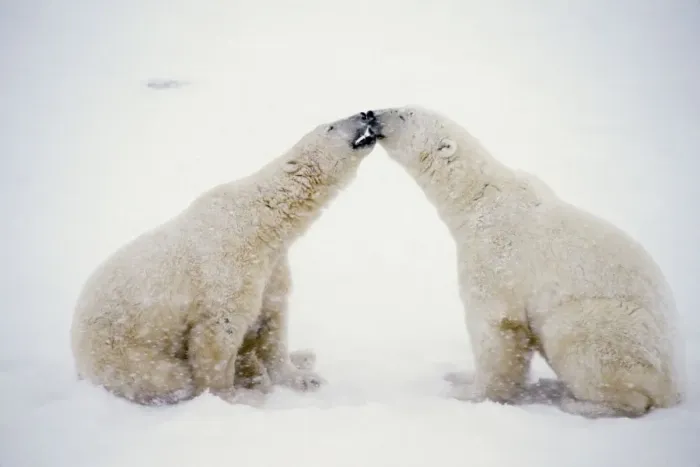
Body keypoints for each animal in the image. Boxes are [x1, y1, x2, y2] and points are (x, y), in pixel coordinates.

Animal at [70, 110, 379, 406]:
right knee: (167, 377)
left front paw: (303, 378)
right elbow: (218, 335)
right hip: (120, 352)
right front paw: (236, 396)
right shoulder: (227, 269)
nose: (366, 113)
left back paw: (301, 356)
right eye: (330, 126)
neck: (261, 220)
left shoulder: (271, 267)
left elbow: (272, 317)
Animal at [369, 106, 685, 418]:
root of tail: (672, 389)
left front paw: (468, 393)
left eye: (404, 114)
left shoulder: (495, 254)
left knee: (582, 345)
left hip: (608, 327)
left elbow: (495, 327)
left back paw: (579, 402)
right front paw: (458, 375)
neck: (477, 198)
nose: (372, 114)